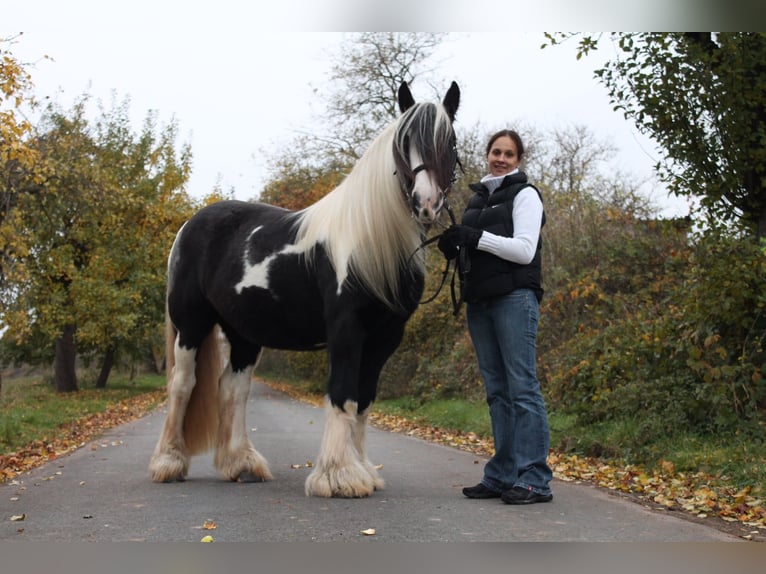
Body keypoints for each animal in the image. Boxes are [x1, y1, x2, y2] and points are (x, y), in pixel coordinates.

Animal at [150, 81, 462, 500]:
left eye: (450, 142)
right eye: (404, 141)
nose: (426, 204)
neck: (370, 242)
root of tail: (190, 224)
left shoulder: (385, 338)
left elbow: (364, 400)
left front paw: (363, 470)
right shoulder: (346, 330)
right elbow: (342, 393)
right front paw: (338, 476)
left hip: (244, 333)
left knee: (233, 388)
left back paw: (242, 464)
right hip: (191, 324)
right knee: (183, 384)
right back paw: (169, 462)